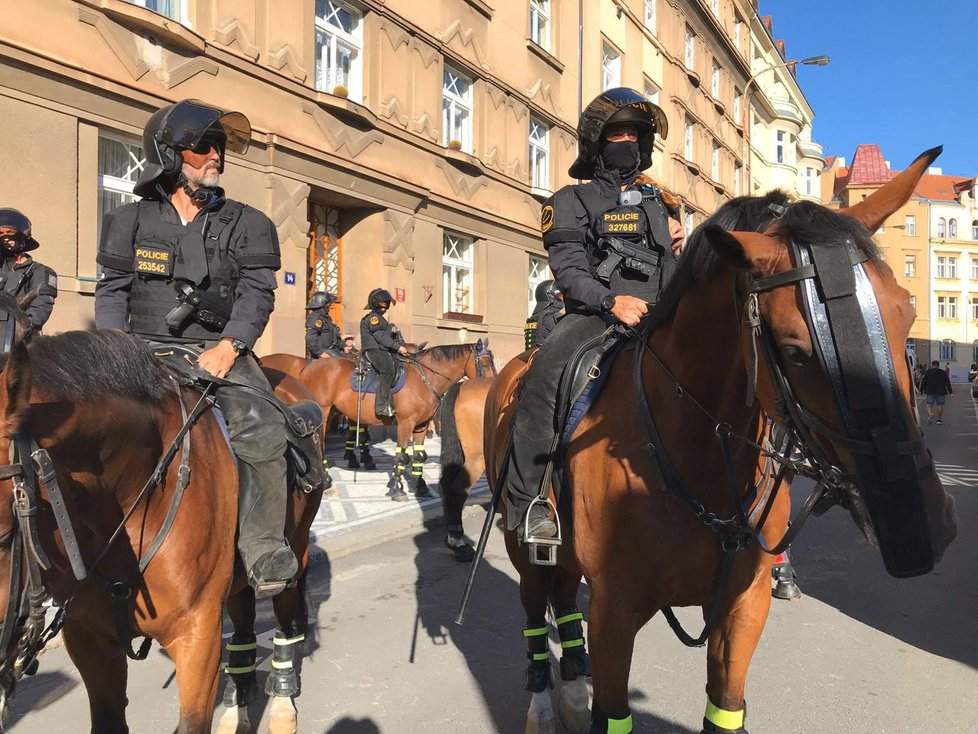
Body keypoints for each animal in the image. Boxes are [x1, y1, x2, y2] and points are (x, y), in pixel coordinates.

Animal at [266, 342, 496, 504]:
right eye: (485, 362)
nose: (492, 386)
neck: (425, 378)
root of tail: (308, 367)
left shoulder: (421, 425)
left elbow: (419, 456)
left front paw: (420, 486)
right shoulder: (405, 423)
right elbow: (402, 456)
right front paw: (397, 488)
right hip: (322, 412)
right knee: (320, 447)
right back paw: (328, 482)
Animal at [480, 147, 952, 732]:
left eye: (907, 315)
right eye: (795, 351)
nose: (927, 524)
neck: (699, 457)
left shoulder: (741, 609)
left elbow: (725, 706)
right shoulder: (614, 611)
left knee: (563, 596)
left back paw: (570, 691)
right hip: (521, 548)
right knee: (534, 607)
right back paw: (545, 703)